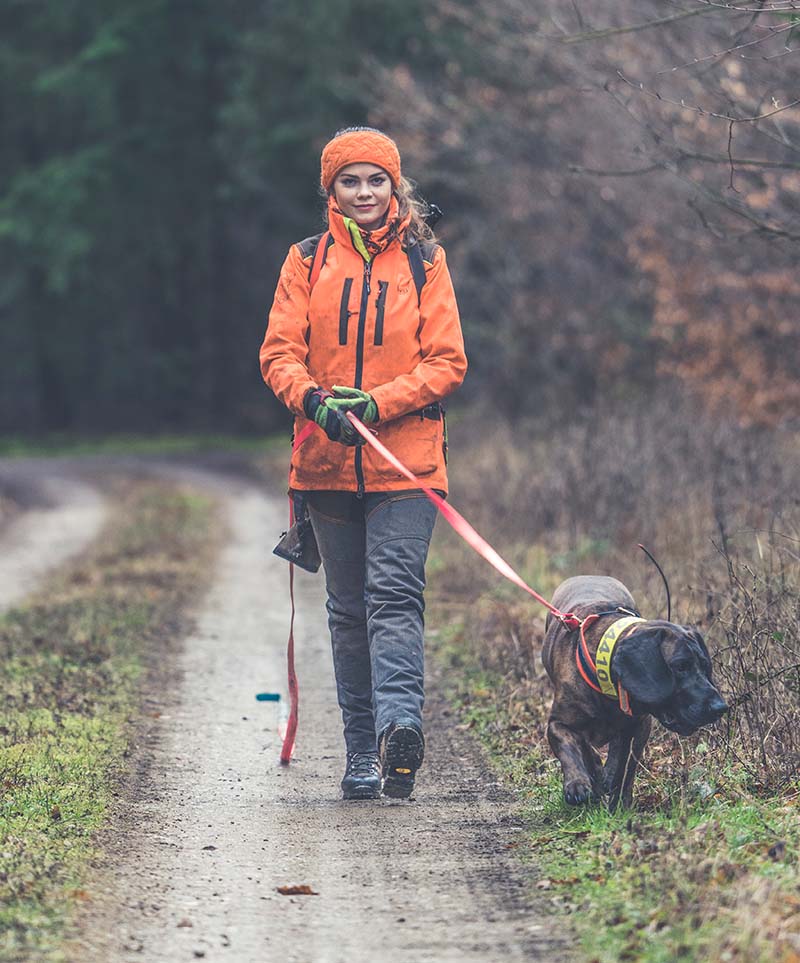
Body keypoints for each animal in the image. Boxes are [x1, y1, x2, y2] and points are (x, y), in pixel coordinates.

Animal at [540, 576, 728, 808]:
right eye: (681, 666)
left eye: (704, 665)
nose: (720, 707)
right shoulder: (558, 724)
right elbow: (571, 750)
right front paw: (578, 784)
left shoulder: (639, 726)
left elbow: (626, 766)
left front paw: (620, 799)